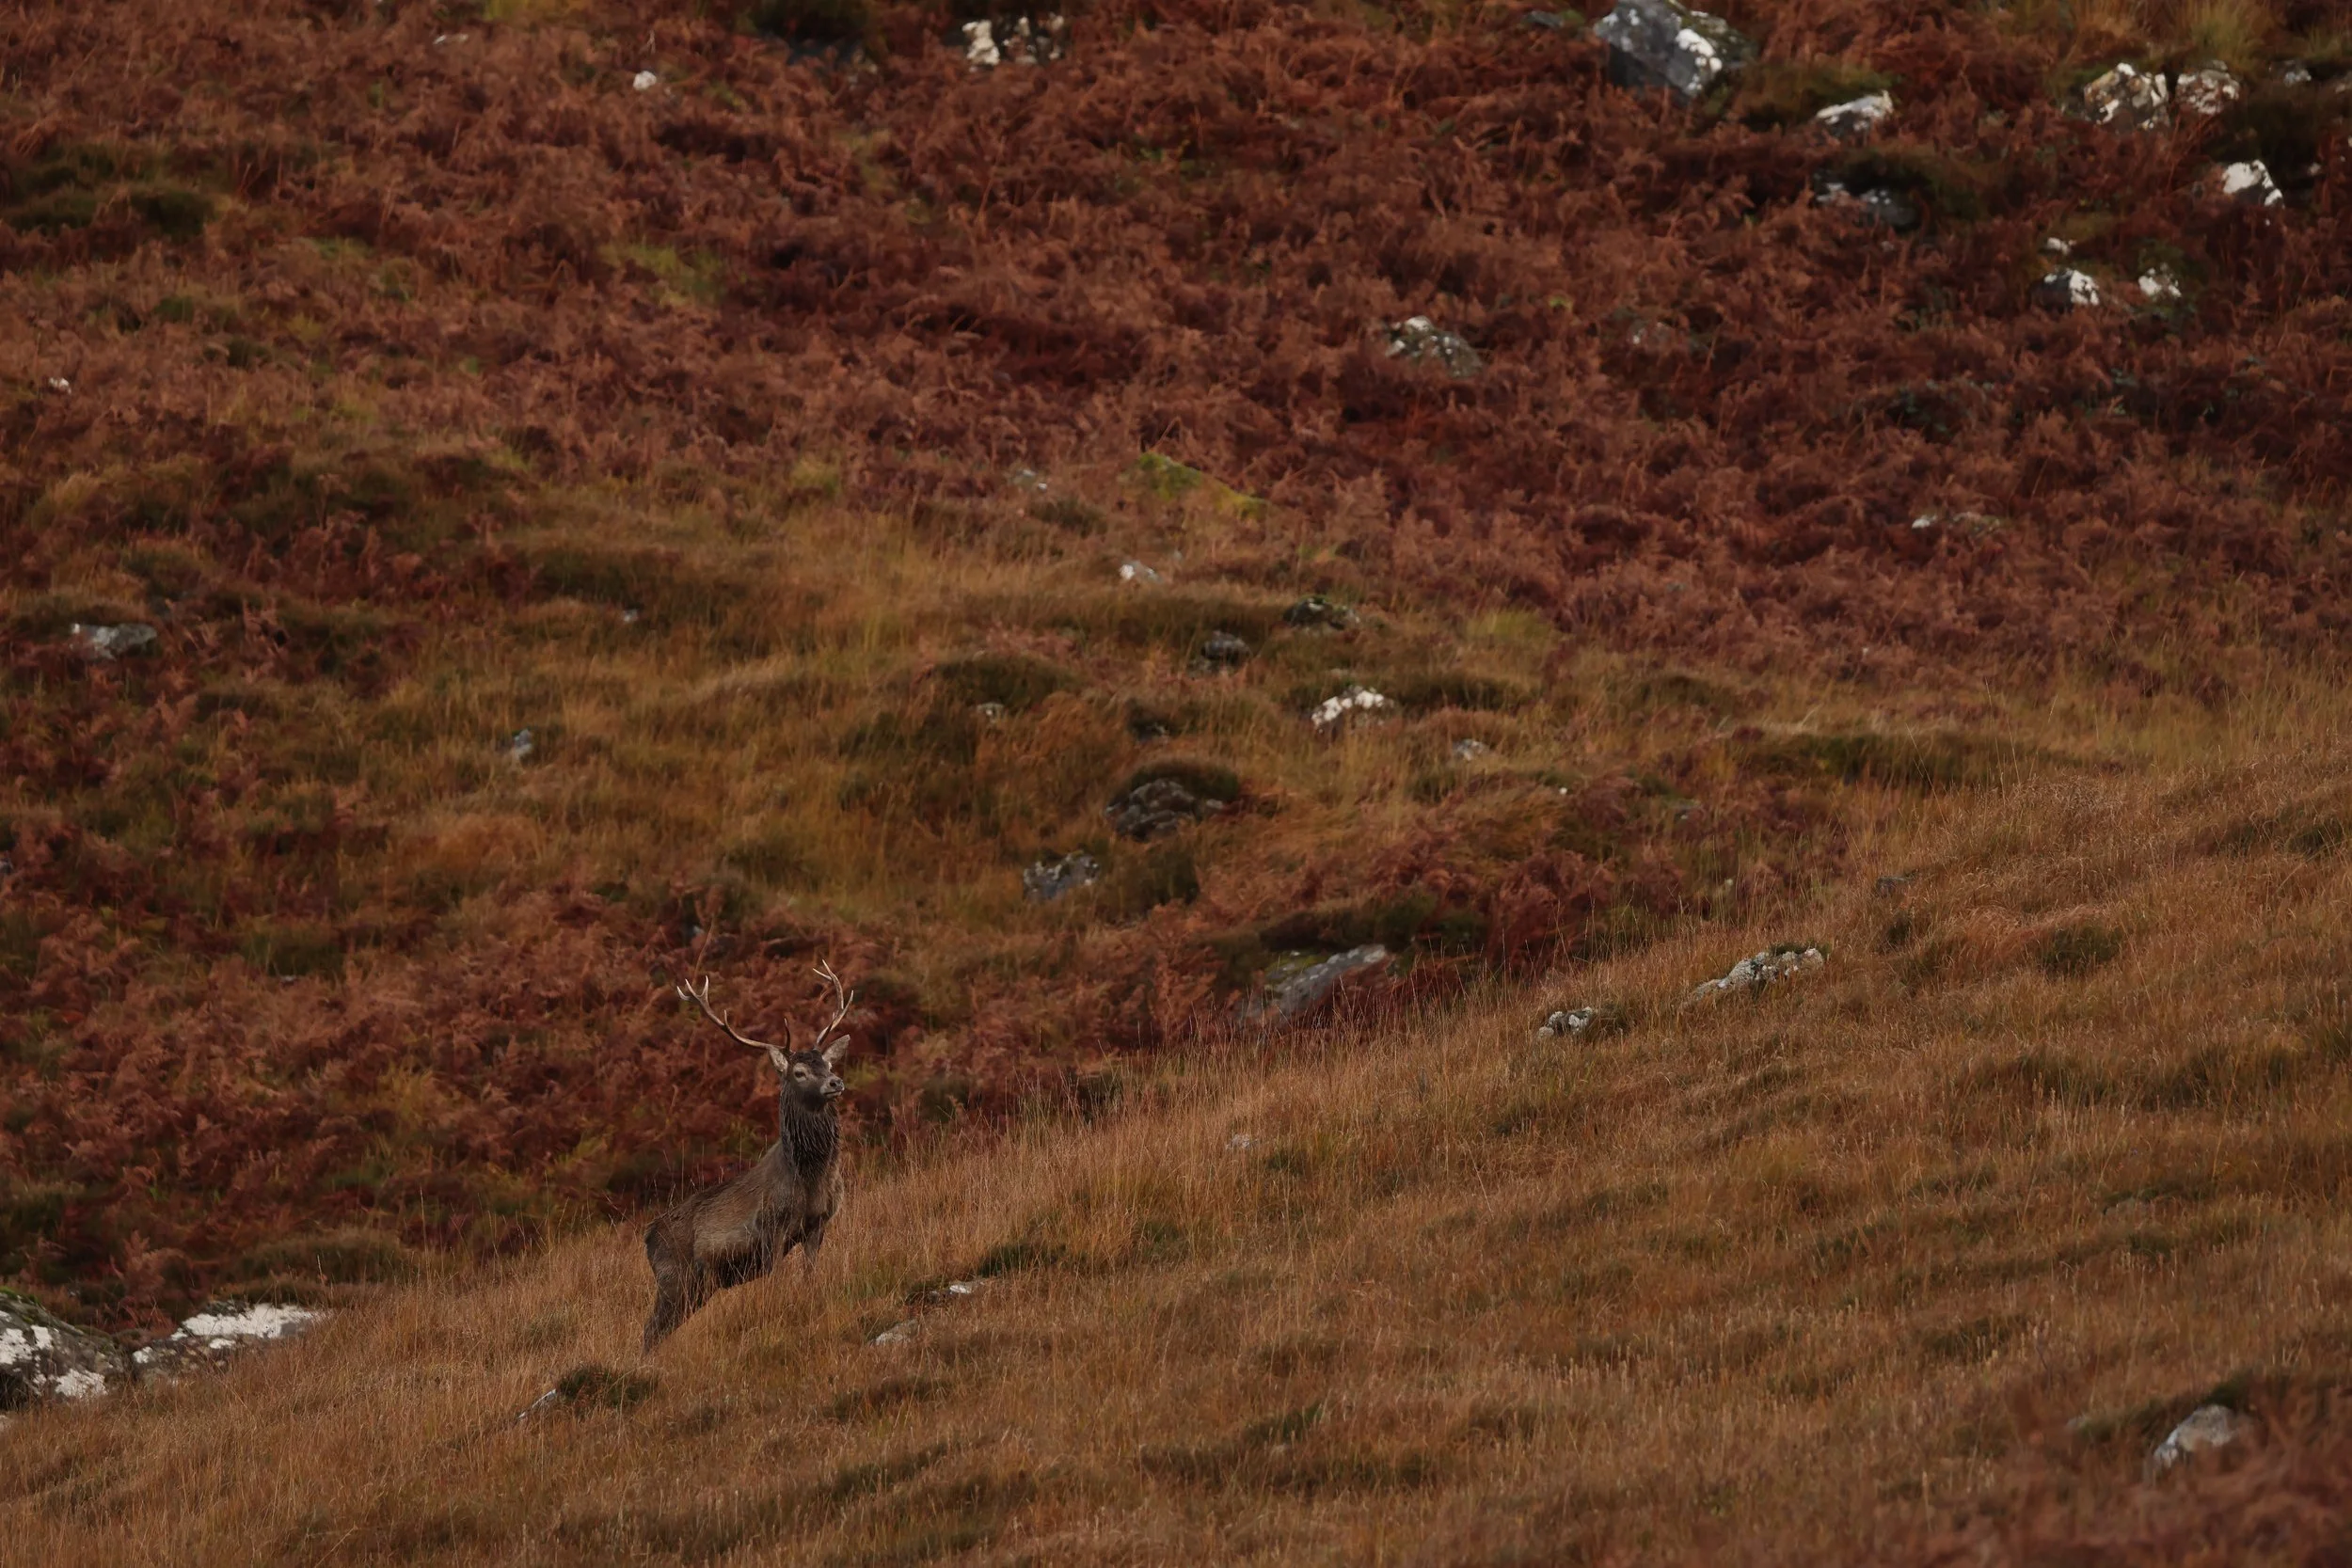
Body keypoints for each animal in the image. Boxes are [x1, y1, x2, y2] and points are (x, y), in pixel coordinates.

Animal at [641, 962, 855, 1352]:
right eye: (798, 1072)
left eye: (827, 1064)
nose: (835, 1082)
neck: (811, 1178)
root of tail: (647, 1238)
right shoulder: (771, 1228)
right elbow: (777, 1284)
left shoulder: (819, 1223)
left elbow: (810, 1276)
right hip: (673, 1277)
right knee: (650, 1330)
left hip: (697, 1288)